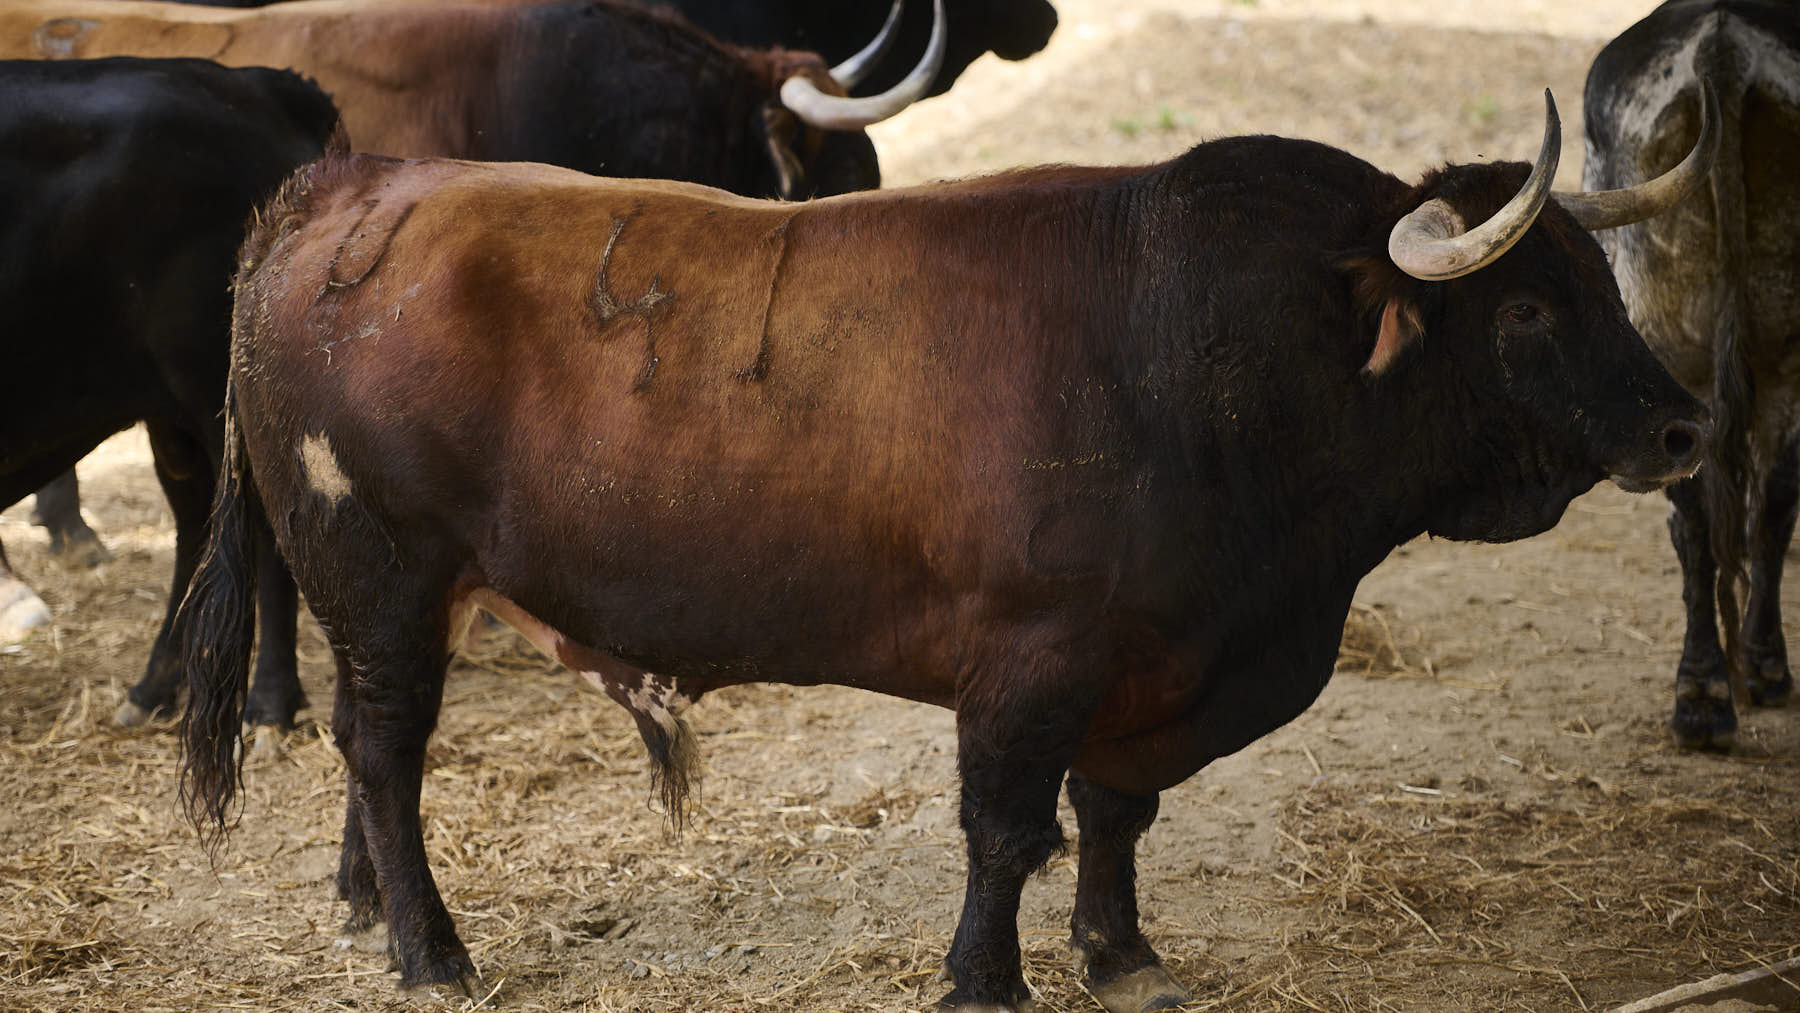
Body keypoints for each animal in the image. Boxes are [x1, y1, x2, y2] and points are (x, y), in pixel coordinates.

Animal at [0, 55, 338, 726]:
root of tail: (250, 82)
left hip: (219, 396)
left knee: (258, 536)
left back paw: (269, 702)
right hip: (174, 415)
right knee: (196, 524)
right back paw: (155, 687)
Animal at [182, 91, 1713, 1007]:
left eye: (1597, 278)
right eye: (1528, 310)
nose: (1688, 421)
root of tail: (348, 190)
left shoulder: (1145, 667)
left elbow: (1114, 814)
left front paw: (1120, 950)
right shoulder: (1031, 660)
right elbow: (1009, 830)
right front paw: (989, 978)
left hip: (402, 596)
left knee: (370, 754)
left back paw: (367, 908)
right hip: (381, 572)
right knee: (386, 751)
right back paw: (431, 949)